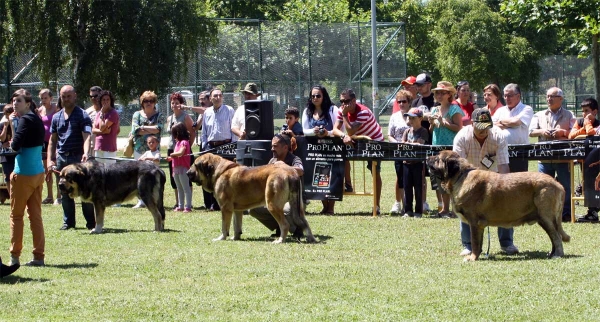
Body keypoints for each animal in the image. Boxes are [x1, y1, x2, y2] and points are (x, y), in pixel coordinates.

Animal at [188, 152, 316, 243]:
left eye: (195, 165)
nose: (187, 173)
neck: (218, 171)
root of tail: (291, 172)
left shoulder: (225, 208)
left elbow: (225, 226)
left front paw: (221, 238)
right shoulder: (237, 210)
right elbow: (236, 226)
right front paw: (235, 238)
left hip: (272, 205)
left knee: (285, 225)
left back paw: (280, 240)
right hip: (298, 208)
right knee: (305, 222)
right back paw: (310, 239)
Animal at [426, 151, 572, 262]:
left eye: (437, 159)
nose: (427, 158)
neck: (460, 177)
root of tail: (557, 184)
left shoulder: (474, 223)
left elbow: (475, 243)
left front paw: (472, 258)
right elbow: (479, 243)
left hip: (546, 217)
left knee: (556, 237)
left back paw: (557, 255)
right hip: (543, 219)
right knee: (553, 237)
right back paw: (551, 254)